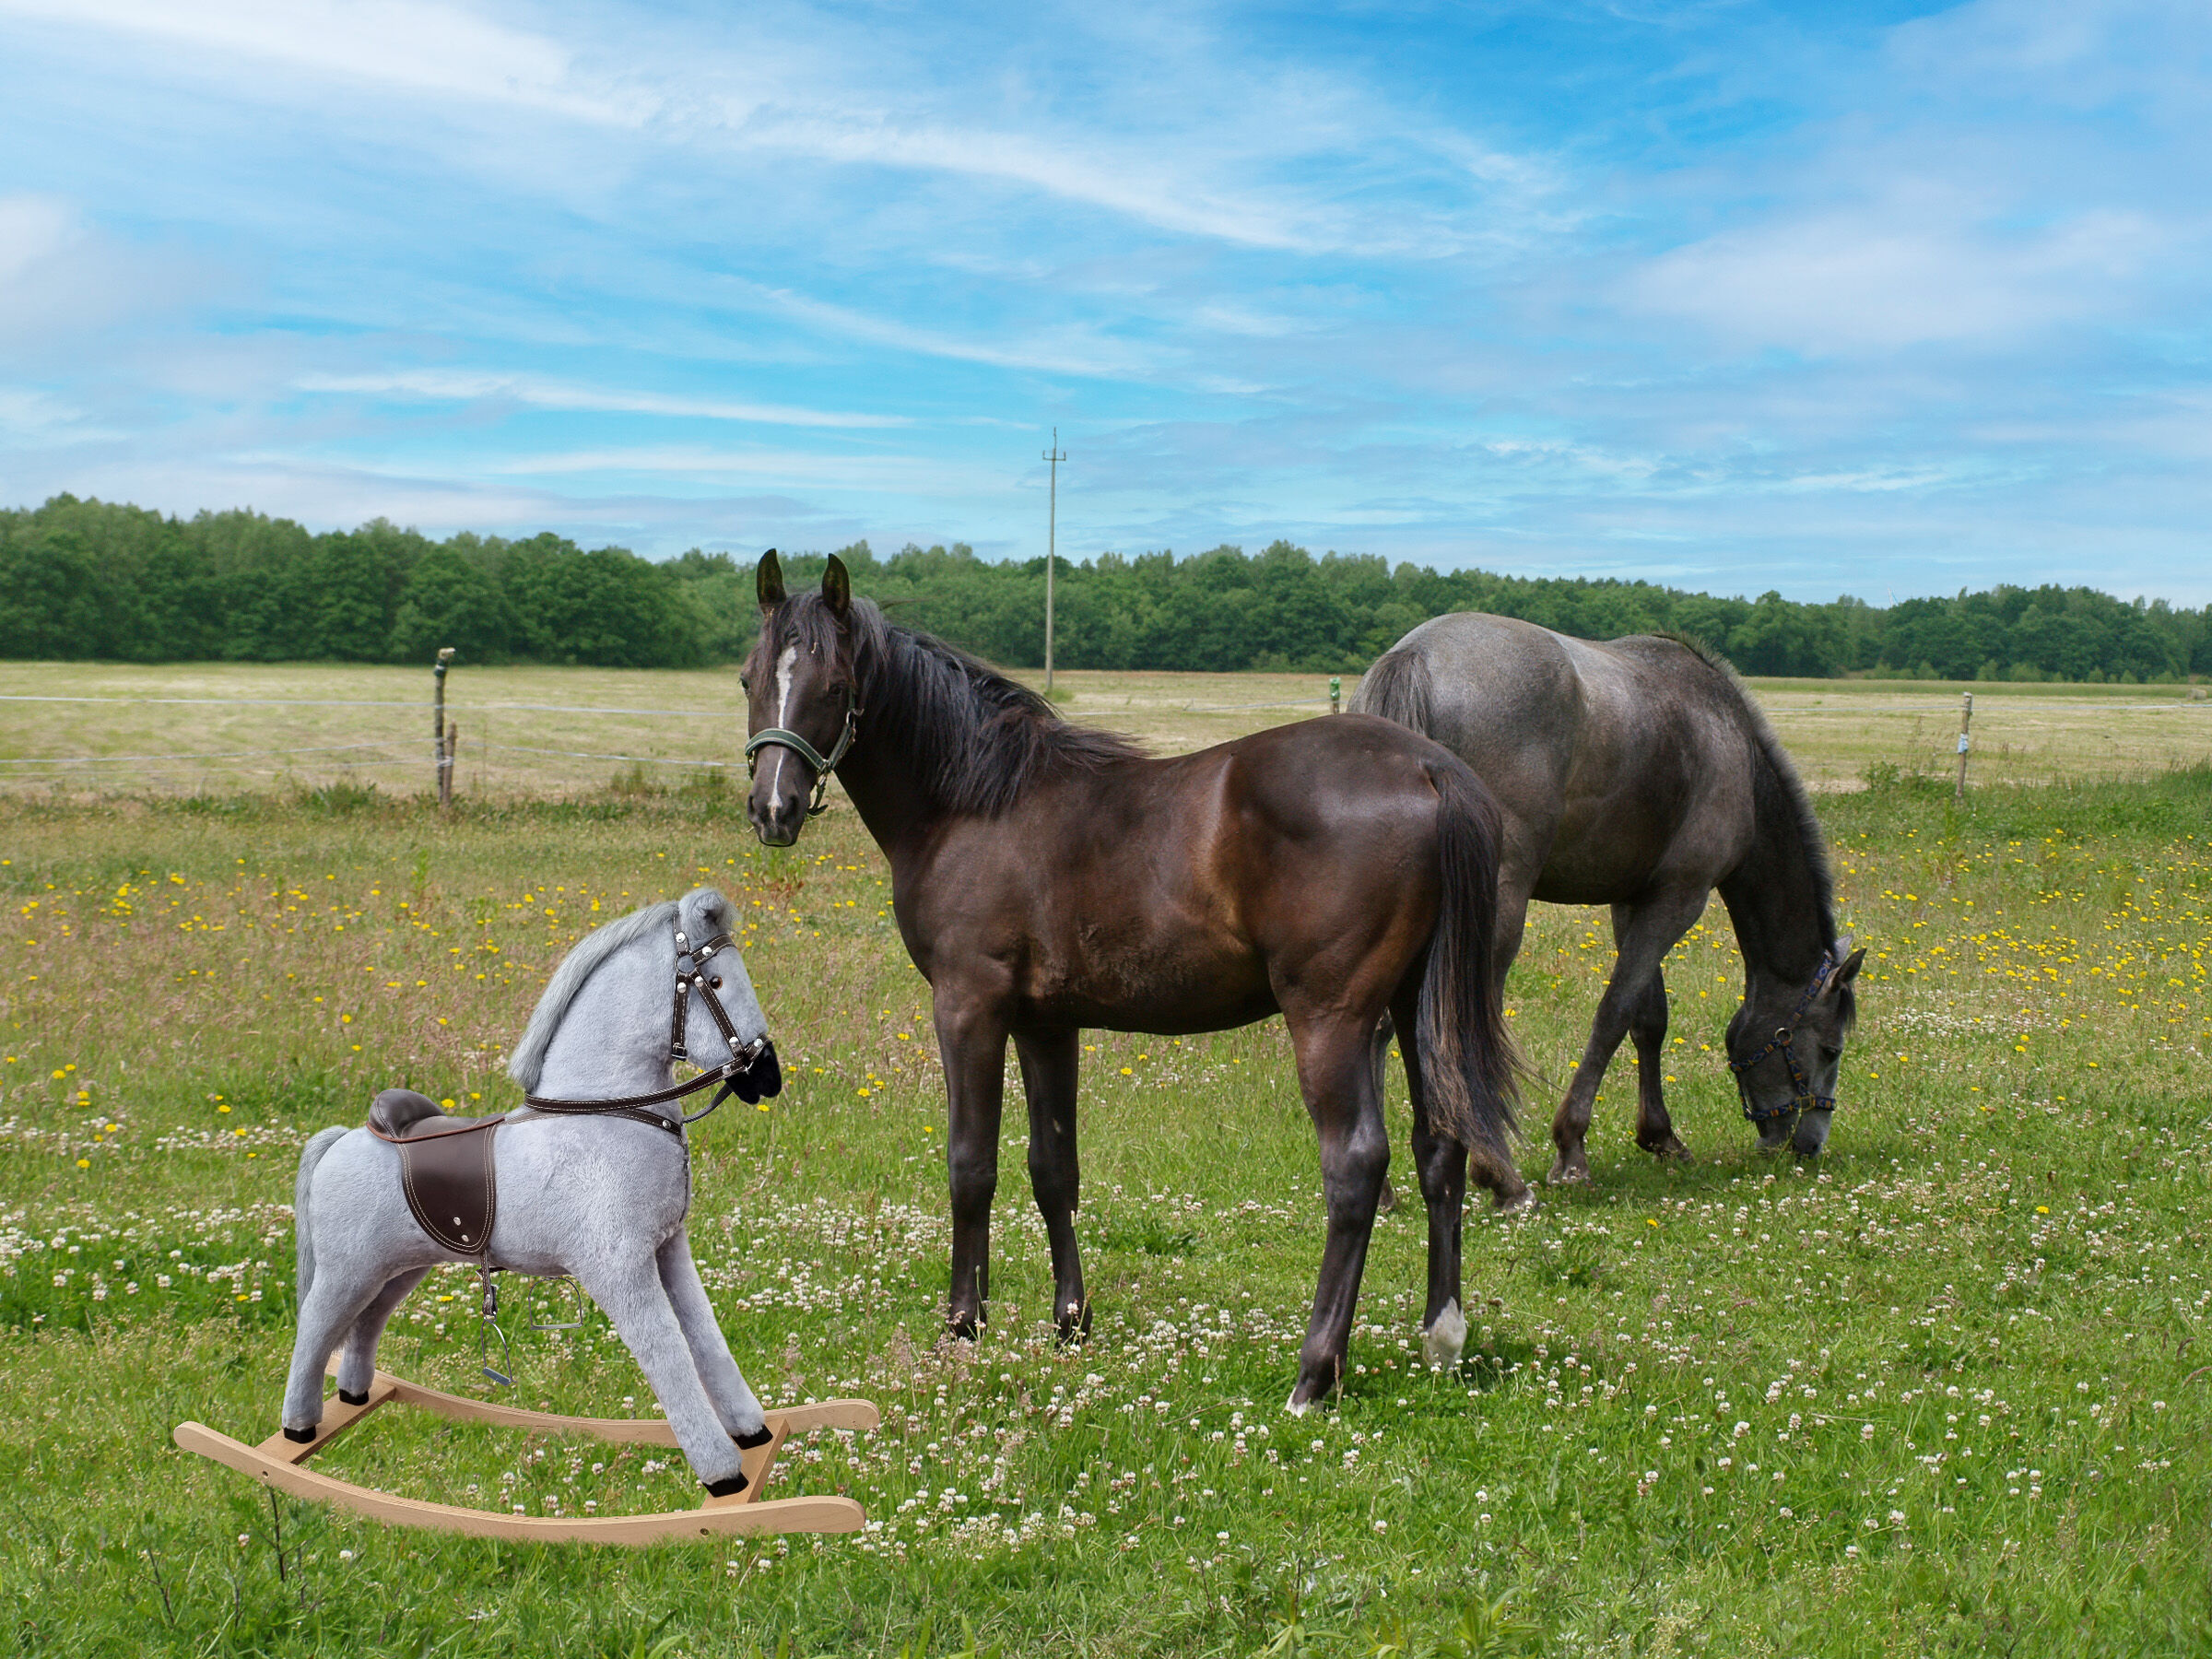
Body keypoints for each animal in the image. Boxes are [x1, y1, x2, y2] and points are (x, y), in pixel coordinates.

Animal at [282, 886, 786, 1496]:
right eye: (715, 980)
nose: (768, 1077)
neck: (605, 1114)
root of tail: (341, 1139)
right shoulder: (618, 1269)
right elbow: (667, 1352)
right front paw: (722, 1475)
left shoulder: (669, 1250)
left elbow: (706, 1337)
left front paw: (752, 1433)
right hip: (348, 1267)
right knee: (314, 1328)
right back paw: (299, 1428)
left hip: (400, 1265)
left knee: (366, 1323)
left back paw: (354, 1394)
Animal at [740, 551, 1521, 1409]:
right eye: (750, 678)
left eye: (835, 686)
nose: (772, 809)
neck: (976, 805)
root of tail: (1429, 767)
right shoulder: (1046, 1022)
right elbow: (1053, 1169)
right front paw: (1070, 1323)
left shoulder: (969, 1005)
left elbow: (970, 1165)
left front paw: (962, 1327)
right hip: (1417, 1007)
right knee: (1440, 1146)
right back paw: (1442, 1338)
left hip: (1334, 1018)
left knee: (1355, 1167)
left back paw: (1314, 1375)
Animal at [1353, 613, 1865, 1182]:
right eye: (1830, 1049)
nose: (1807, 1144)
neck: (1738, 752)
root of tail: (1416, 656)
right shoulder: (1678, 899)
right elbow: (1614, 1013)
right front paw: (1571, 1148)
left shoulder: (1634, 900)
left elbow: (1649, 1018)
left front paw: (1661, 1136)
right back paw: (1498, 1174)